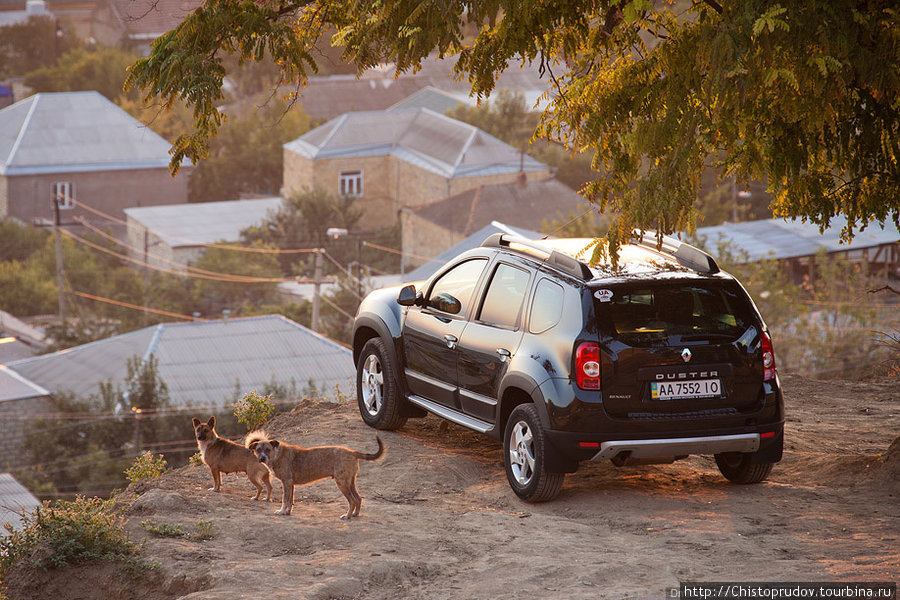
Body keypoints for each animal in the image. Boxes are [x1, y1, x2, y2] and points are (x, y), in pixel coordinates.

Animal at [246, 432, 384, 520]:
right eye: (258, 449)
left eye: (267, 449)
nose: (261, 458)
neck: (276, 455)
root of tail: (353, 452)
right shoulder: (291, 484)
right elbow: (290, 500)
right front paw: (287, 512)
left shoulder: (286, 482)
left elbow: (285, 500)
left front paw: (281, 511)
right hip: (350, 482)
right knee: (358, 499)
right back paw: (355, 514)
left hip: (342, 483)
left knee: (352, 500)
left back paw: (348, 516)